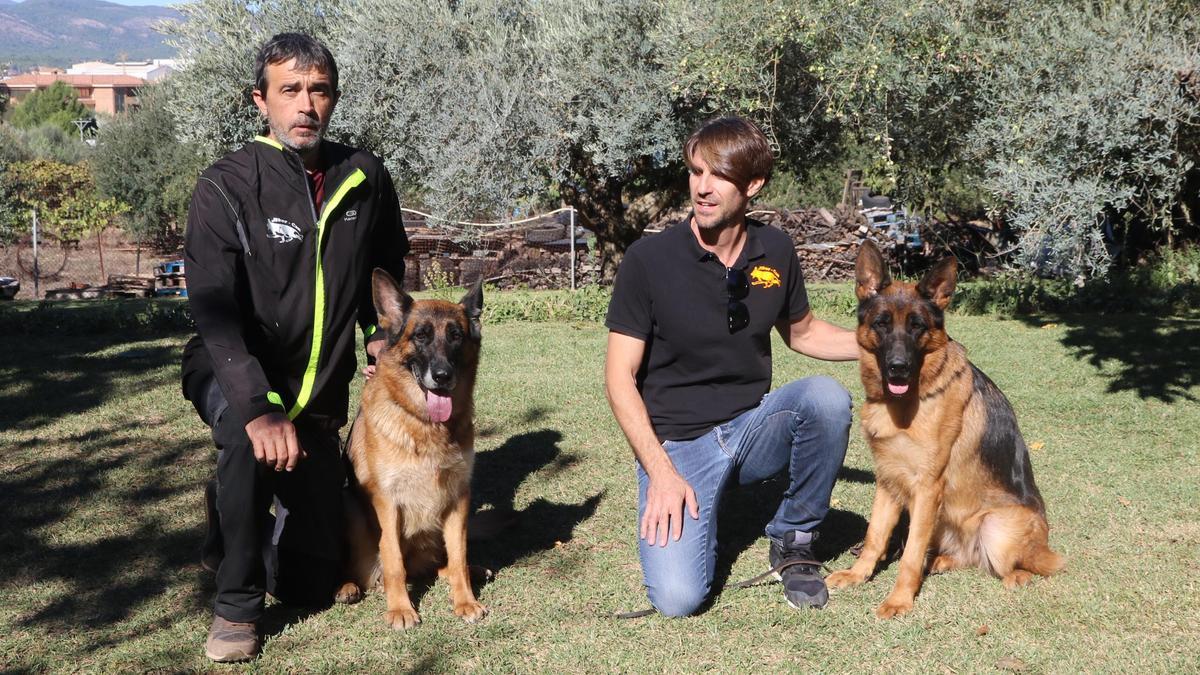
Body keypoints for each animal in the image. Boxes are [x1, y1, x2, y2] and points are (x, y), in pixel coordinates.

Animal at [333, 267, 487, 624]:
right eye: (420, 336)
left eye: (456, 335)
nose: (442, 376)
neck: (425, 425)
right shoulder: (387, 503)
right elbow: (393, 561)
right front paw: (401, 608)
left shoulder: (459, 498)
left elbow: (458, 555)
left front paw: (465, 601)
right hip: (347, 505)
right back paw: (348, 586)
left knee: (441, 563)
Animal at [830, 240, 1065, 614]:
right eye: (882, 323)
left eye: (917, 326)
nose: (898, 368)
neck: (908, 402)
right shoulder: (889, 482)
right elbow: (874, 537)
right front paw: (857, 575)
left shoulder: (927, 488)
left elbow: (909, 554)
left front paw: (899, 599)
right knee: (966, 558)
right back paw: (939, 561)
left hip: (994, 527)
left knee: (1022, 564)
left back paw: (1016, 576)